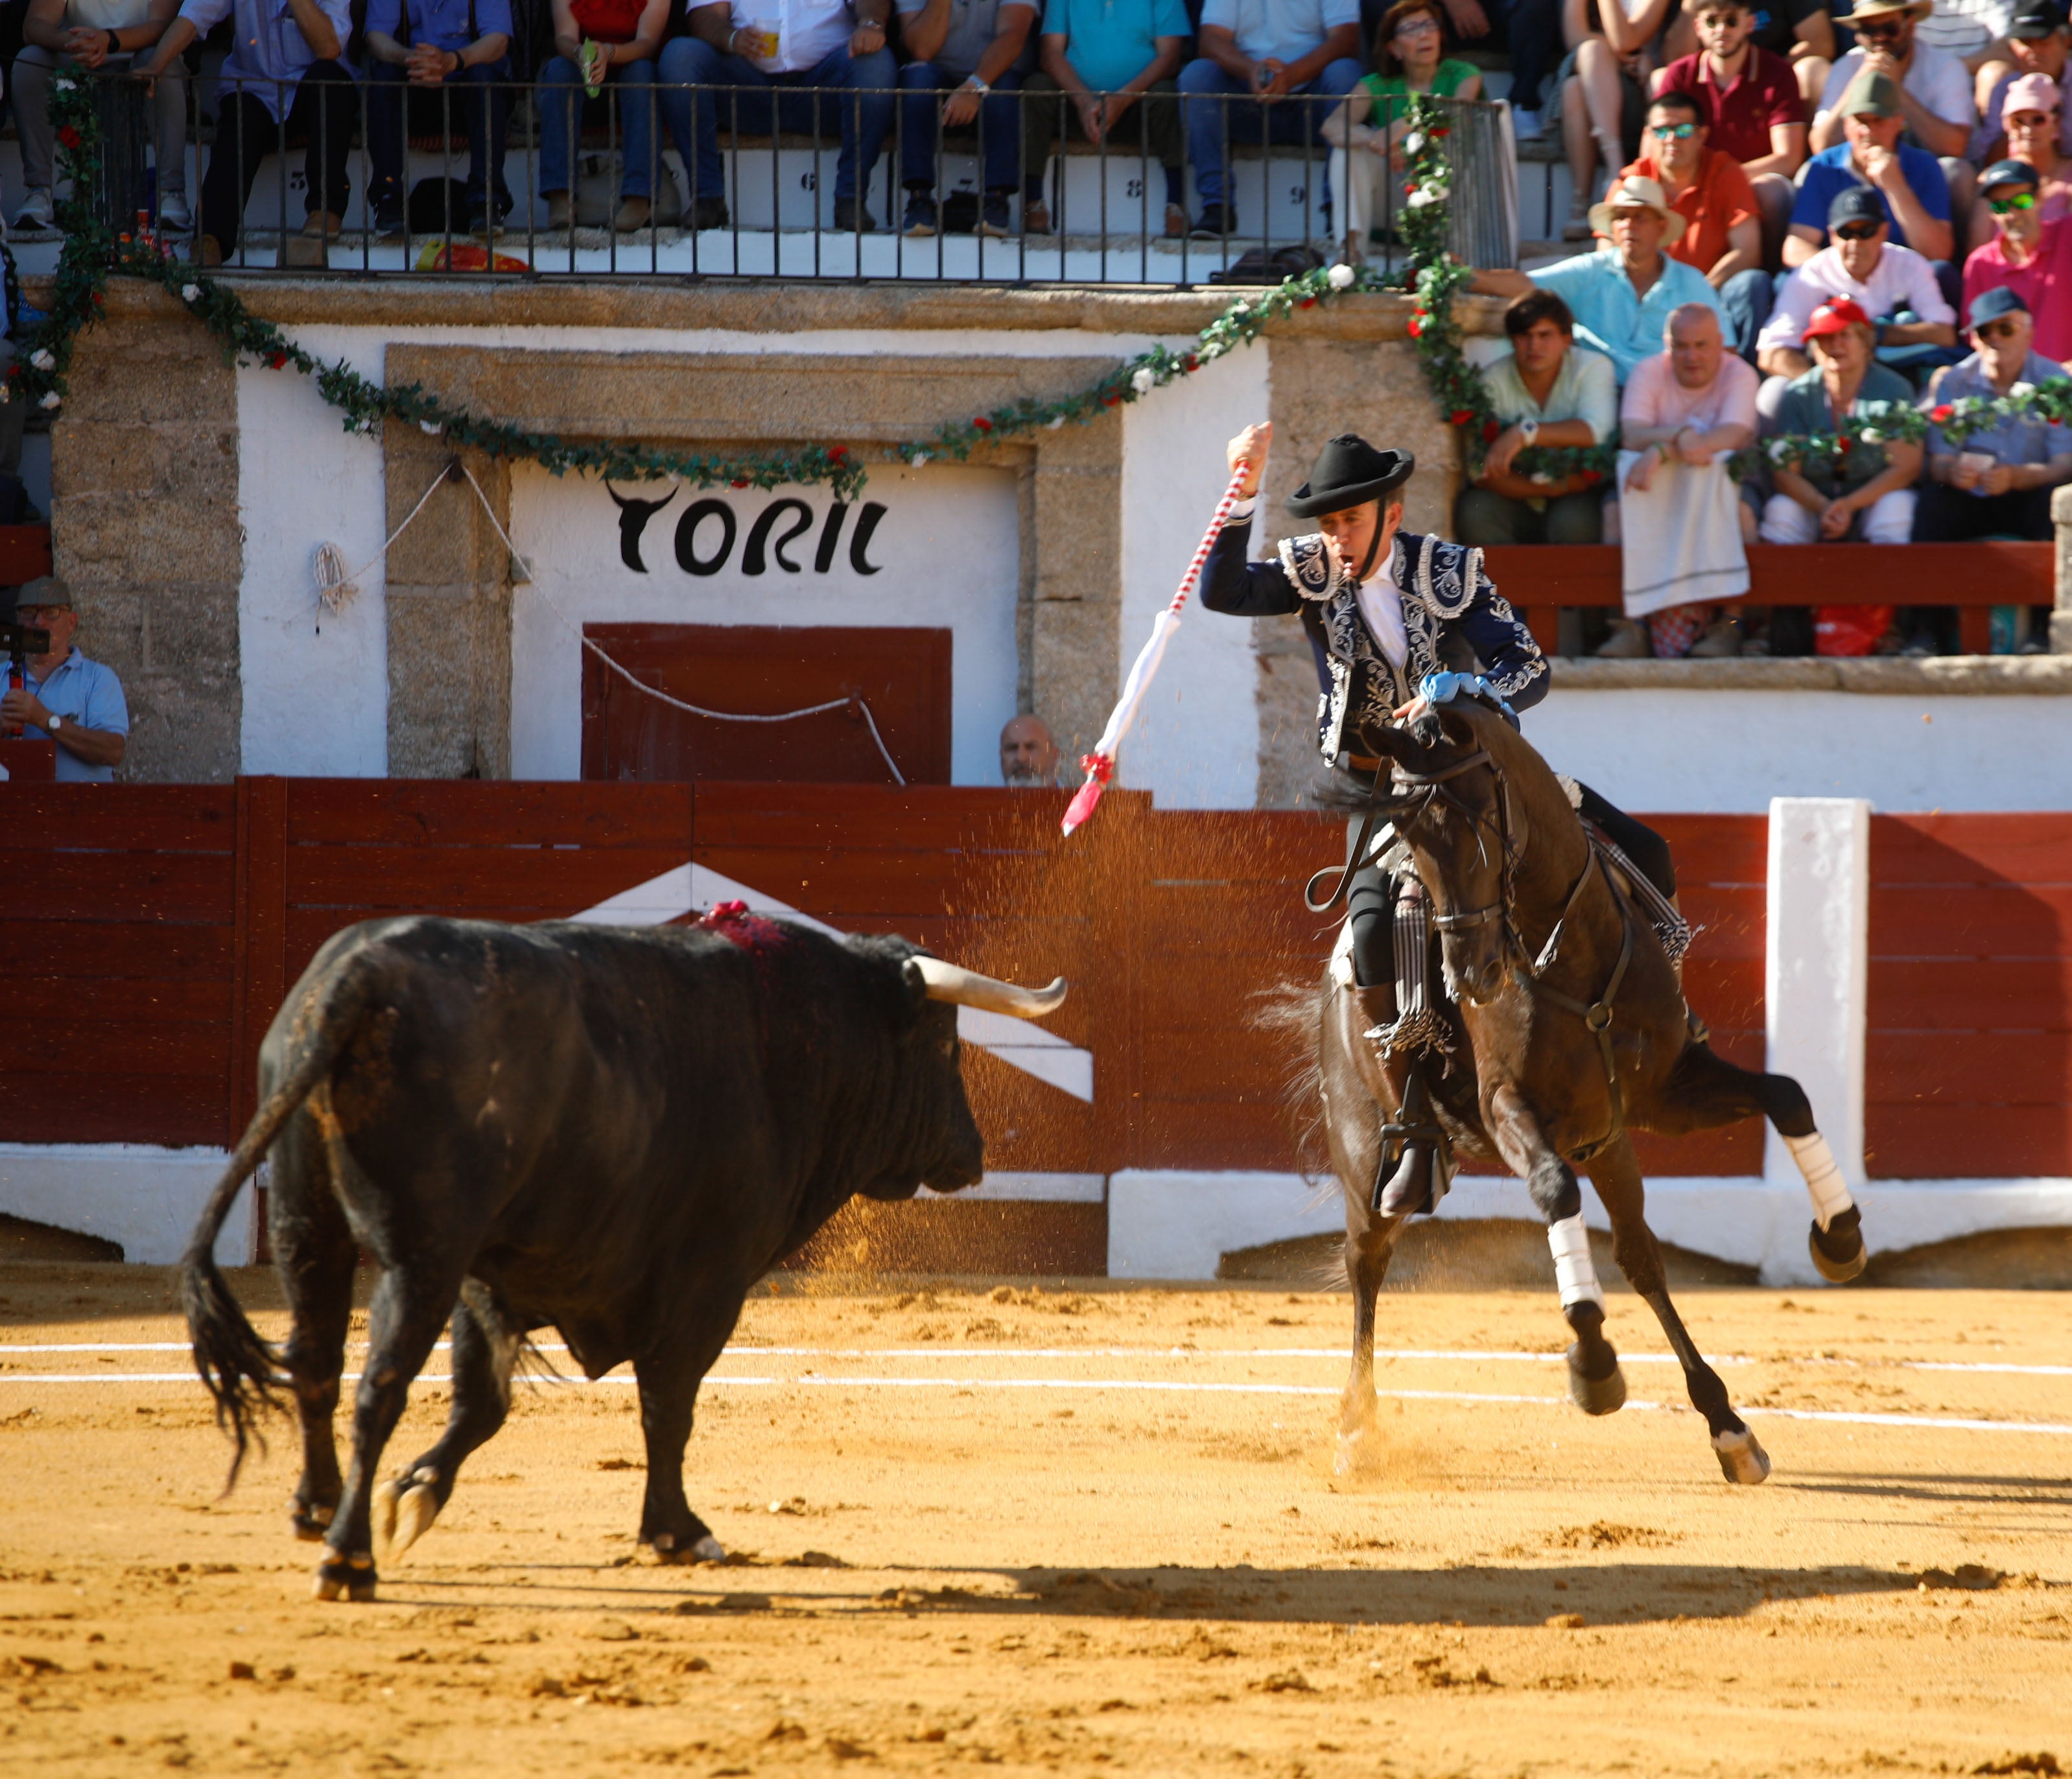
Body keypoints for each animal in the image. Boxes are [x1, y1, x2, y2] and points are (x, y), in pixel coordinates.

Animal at [182, 911, 1069, 1607]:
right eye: (947, 1046)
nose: (972, 1153)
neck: (793, 1035)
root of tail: (358, 978)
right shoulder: (705, 1285)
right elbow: (667, 1405)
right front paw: (678, 1532)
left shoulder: (492, 1275)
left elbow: (482, 1403)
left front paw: (417, 1491)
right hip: (418, 1254)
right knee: (378, 1384)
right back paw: (348, 1558)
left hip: (306, 1228)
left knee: (315, 1359)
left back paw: (317, 1506)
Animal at [1301, 704, 1873, 1483]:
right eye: (1410, 838)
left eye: (1483, 815)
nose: (1472, 973)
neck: (1563, 952)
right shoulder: (1508, 1109)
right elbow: (1553, 1189)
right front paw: (1594, 1365)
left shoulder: (1660, 1094)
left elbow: (1786, 1094)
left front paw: (1840, 1238)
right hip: (1367, 1157)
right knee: (1367, 1264)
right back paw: (1357, 1429)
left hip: (1609, 1142)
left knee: (1640, 1255)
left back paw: (1728, 1426)